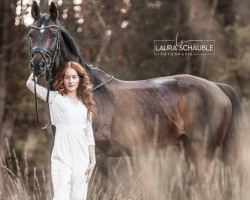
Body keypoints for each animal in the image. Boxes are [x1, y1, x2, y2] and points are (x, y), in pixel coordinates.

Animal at [28, 1, 241, 182]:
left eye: (53, 34)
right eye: (31, 34)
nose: (37, 65)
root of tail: (217, 87)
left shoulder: (99, 155)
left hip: (203, 151)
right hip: (188, 150)